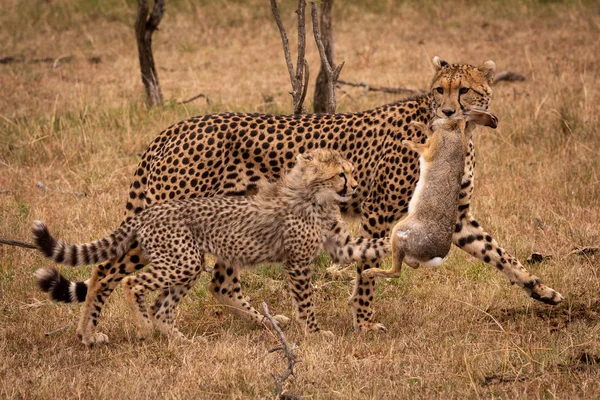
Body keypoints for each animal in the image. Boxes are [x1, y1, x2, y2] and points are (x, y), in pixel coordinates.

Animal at [36, 56, 564, 346]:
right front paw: (364, 322)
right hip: (173, 228)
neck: (458, 134)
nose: (451, 110)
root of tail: (174, 126)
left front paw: (543, 291)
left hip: (229, 225)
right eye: (441, 90)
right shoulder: (380, 213)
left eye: (467, 90)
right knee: (106, 271)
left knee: (218, 285)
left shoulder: (454, 218)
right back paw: (90, 333)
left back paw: (267, 323)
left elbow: (502, 256)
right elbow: (367, 273)